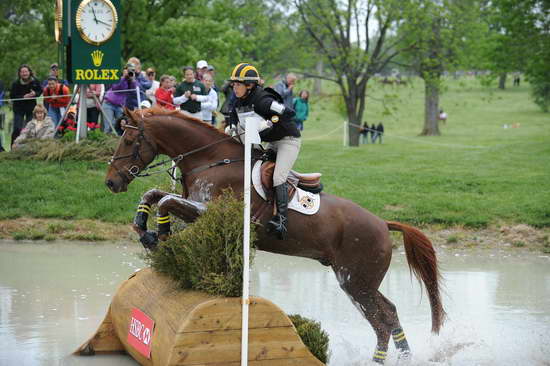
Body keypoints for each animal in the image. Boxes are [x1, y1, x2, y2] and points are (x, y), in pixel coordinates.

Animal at [105, 108, 446, 364]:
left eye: (130, 140)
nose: (111, 182)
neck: (211, 159)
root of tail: (383, 224)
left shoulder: (205, 210)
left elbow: (165, 200)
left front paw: (160, 236)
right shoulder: (192, 204)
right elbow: (154, 193)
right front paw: (144, 229)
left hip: (356, 281)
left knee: (383, 318)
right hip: (358, 282)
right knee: (387, 314)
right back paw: (397, 358)